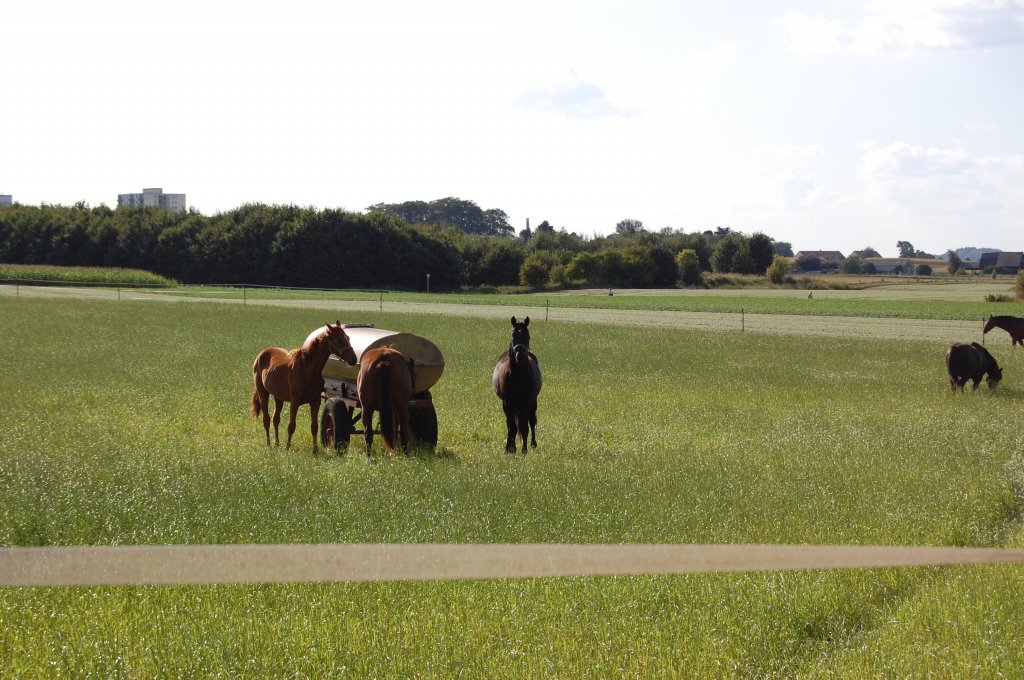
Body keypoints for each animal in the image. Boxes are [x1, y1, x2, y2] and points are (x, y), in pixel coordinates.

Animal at [250, 319, 356, 448]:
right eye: (339, 339)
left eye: (348, 338)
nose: (354, 359)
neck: (307, 370)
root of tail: (262, 353)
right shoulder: (294, 402)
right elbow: (291, 426)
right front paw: (287, 448)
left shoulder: (315, 402)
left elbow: (314, 427)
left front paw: (315, 449)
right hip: (263, 393)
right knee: (267, 419)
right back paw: (269, 444)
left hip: (278, 397)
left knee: (276, 419)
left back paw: (277, 444)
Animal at [489, 315, 540, 454]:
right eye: (513, 334)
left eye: (528, 336)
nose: (520, 357)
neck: (518, 374)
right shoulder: (508, 401)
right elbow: (512, 426)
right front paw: (510, 448)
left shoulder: (527, 401)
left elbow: (524, 426)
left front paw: (524, 450)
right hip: (507, 405)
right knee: (509, 423)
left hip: (533, 402)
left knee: (532, 421)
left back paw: (533, 444)